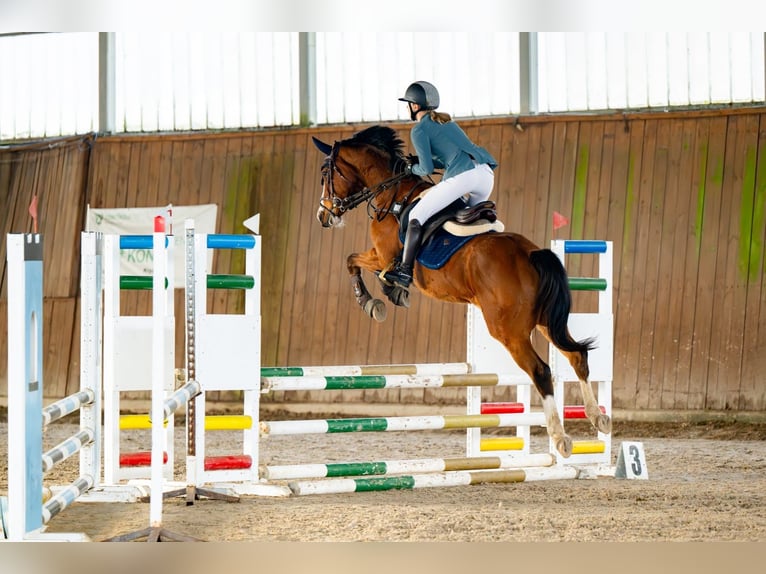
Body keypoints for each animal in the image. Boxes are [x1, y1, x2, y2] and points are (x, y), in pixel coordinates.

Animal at [312, 126, 612, 460]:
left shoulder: (382, 255)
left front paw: (372, 300)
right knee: (576, 355)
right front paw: (387, 293)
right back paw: (597, 417)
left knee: (541, 370)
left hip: (508, 331)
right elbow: (355, 262)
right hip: (545, 322)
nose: (324, 216)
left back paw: (561, 437)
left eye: (325, 173)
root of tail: (532, 254)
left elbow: (352, 260)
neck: (393, 195)